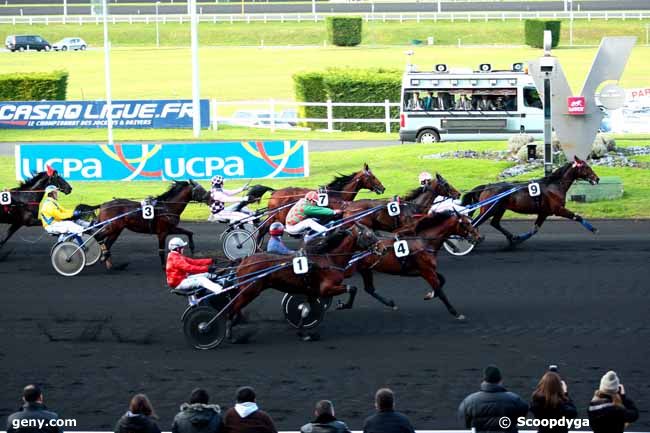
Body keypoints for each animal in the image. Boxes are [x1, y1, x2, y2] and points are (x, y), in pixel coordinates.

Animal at [227, 223, 374, 340]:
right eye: (368, 235)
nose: (379, 247)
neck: (329, 259)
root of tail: (243, 261)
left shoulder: (312, 292)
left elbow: (305, 311)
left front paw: (304, 333)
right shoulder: (326, 288)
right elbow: (353, 288)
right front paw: (343, 305)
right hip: (250, 291)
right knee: (232, 307)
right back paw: (230, 333)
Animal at [253, 164, 384, 246]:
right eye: (373, 177)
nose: (383, 188)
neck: (336, 194)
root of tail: (274, 192)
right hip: (278, 216)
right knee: (263, 230)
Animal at [350, 211, 480, 316]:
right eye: (466, 223)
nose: (479, 237)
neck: (423, 242)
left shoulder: (426, 270)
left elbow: (442, 280)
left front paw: (429, 295)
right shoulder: (426, 271)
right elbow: (440, 291)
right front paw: (455, 313)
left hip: (366, 268)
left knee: (369, 288)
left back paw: (390, 303)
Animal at [458, 156, 600, 246]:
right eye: (586, 167)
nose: (597, 179)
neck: (554, 185)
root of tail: (487, 186)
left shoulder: (543, 213)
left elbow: (534, 230)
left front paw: (517, 239)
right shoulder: (558, 209)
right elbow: (577, 217)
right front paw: (593, 229)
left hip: (499, 209)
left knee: (495, 223)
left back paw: (511, 237)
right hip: (489, 209)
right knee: (474, 223)